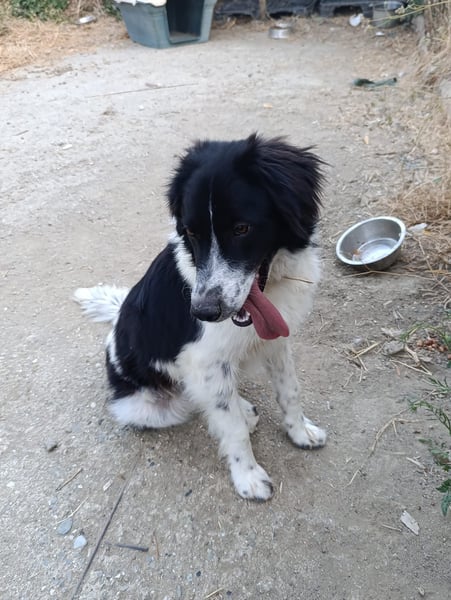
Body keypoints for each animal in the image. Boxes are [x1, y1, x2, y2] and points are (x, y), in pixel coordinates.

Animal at [74, 133, 327, 501]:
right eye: (190, 232)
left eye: (242, 228)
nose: (204, 312)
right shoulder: (203, 360)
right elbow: (232, 429)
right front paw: (248, 476)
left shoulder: (276, 341)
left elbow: (289, 390)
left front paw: (300, 432)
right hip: (151, 406)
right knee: (197, 401)